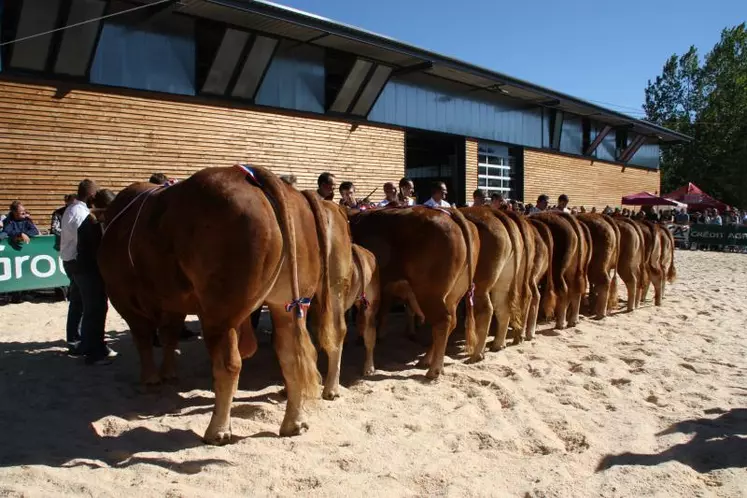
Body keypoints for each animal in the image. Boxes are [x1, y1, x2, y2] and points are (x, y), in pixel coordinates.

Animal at [99, 166, 328, 444]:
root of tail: (251, 175)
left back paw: (217, 430)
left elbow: (143, 338)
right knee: (291, 356)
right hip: (287, 304)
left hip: (219, 314)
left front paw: (151, 378)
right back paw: (293, 423)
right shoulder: (173, 302)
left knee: (228, 365)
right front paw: (167, 372)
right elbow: (169, 335)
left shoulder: (123, 298)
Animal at [348, 206, 476, 378]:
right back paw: (428, 360)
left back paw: (434, 369)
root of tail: (449, 213)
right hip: (453, 295)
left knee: (443, 322)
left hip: (429, 294)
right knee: (450, 322)